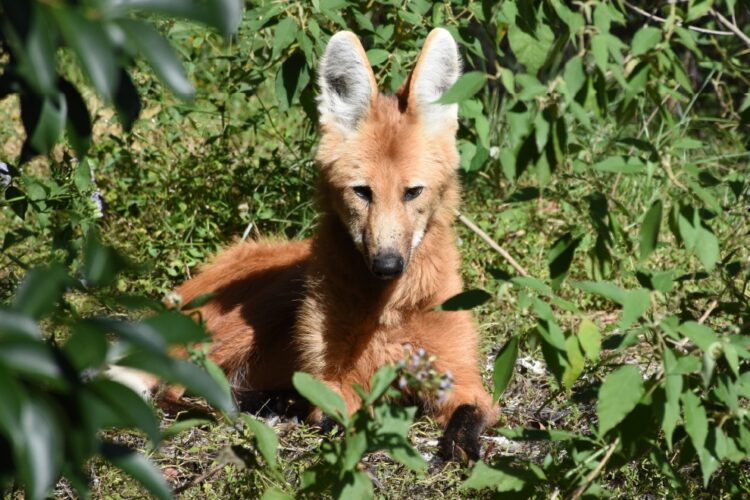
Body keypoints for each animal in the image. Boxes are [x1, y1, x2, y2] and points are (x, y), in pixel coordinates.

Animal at [125, 28, 500, 460]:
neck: (390, 308)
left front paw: (461, 449)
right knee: (179, 386)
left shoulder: (464, 381)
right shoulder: (336, 383)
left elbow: (469, 415)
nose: (387, 265)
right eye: (362, 192)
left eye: (412, 192)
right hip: (268, 301)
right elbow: (341, 416)